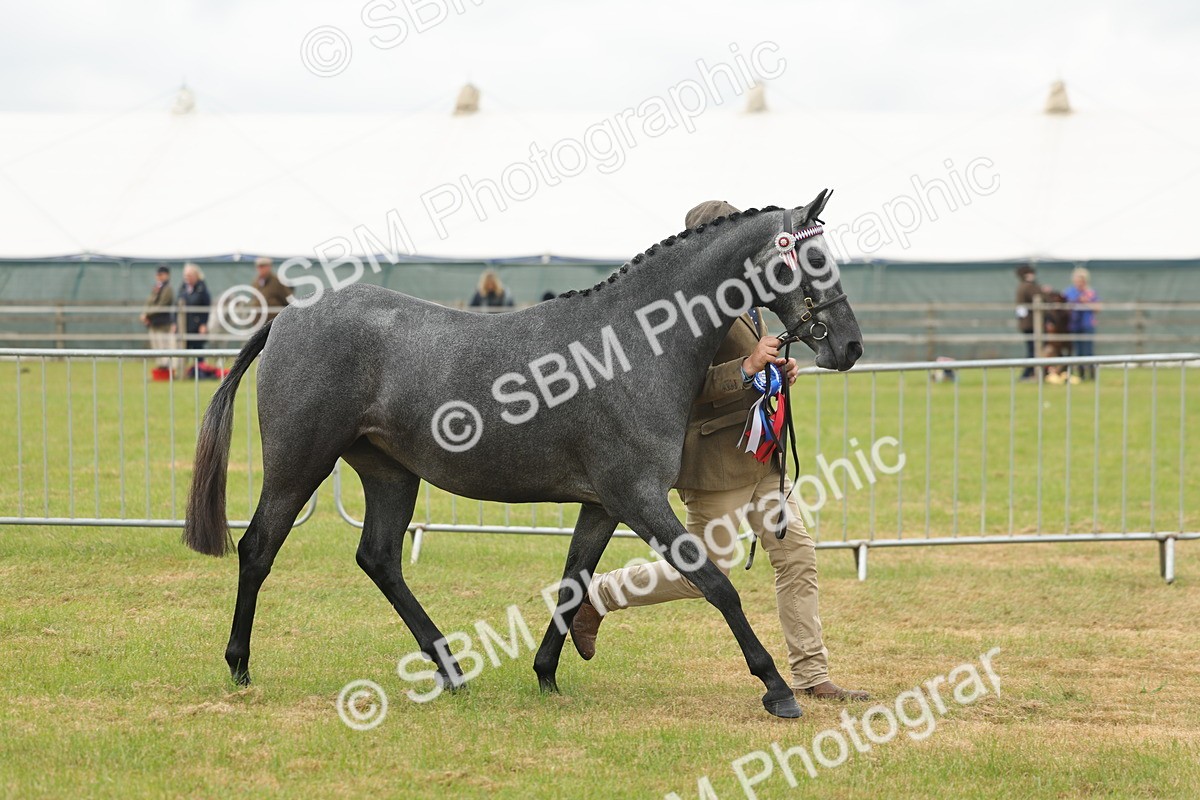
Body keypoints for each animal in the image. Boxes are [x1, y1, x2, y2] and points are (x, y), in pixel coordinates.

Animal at [184, 190, 863, 718]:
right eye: (813, 258)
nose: (851, 347)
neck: (634, 344)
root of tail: (287, 318)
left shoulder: (603, 504)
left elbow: (573, 582)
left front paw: (546, 674)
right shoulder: (638, 497)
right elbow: (716, 584)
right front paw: (777, 688)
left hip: (390, 474)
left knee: (378, 558)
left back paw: (451, 670)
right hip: (299, 464)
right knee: (258, 548)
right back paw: (240, 667)